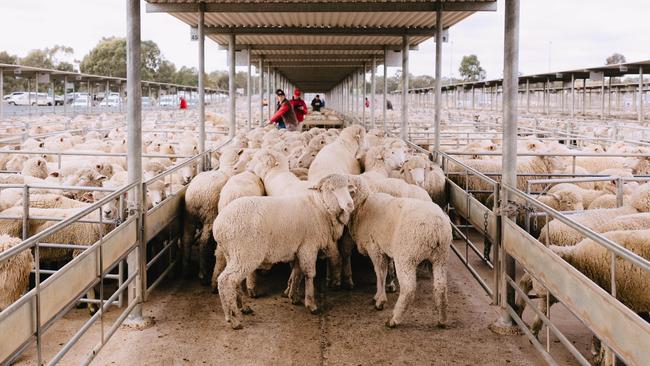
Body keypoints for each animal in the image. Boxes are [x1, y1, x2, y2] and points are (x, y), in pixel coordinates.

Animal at [211, 174, 354, 328]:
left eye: (348, 188)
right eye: (332, 189)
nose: (350, 205)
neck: (320, 207)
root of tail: (218, 226)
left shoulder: (299, 247)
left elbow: (297, 272)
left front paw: (294, 296)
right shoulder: (309, 246)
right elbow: (309, 274)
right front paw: (311, 304)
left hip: (232, 254)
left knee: (234, 281)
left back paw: (243, 308)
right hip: (244, 254)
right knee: (226, 280)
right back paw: (233, 318)